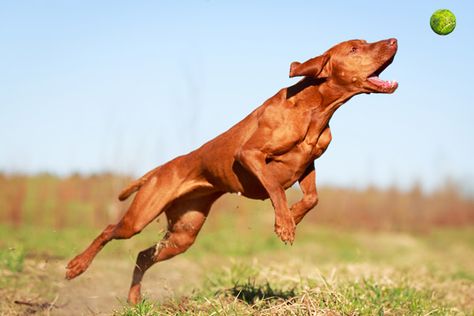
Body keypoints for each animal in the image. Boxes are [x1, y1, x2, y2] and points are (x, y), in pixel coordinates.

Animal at [65, 38, 398, 302]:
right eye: (354, 48)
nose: (394, 40)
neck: (315, 108)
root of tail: (160, 169)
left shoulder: (309, 164)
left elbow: (312, 198)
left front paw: (293, 216)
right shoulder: (249, 155)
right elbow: (275, 188)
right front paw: (285, 223)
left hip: (183, 234)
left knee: (143, 255)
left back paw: (134, 300)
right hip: (140, 216)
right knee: (110, 230)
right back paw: (76, 266)